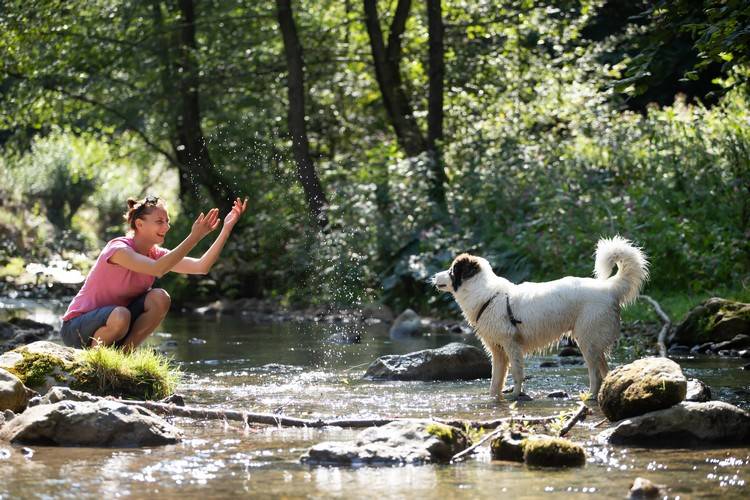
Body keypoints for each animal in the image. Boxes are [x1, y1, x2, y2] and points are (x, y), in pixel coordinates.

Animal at [434, 236, 652, 400]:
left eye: (451, 271)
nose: (434, 276)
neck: (486, 295)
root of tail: (609, 289)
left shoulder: (511, 344)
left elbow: (517, 373)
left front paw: (515, 395)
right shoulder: (498, 350)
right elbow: (496, 379)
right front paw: (494, 398)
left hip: (588, 341)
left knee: (596, 374)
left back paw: (590, 395)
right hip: (594, 342)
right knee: (605, 370)